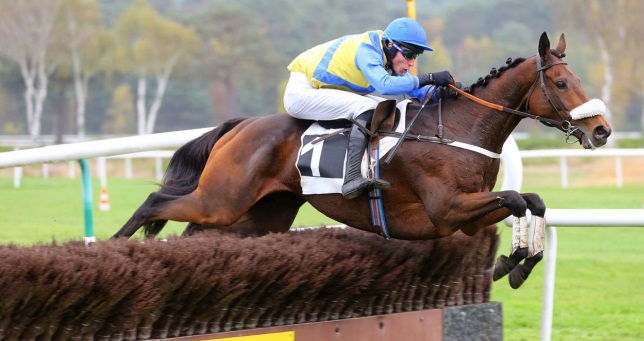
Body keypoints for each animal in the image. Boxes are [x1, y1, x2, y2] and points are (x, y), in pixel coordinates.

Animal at [113, 31, 612, 288]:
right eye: (562, 84)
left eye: (578, 79)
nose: (602, 130)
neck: (457, 130)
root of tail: (239, 125)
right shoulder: (446, 209)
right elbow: (517, 198)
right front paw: (516, 261)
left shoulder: (466, 217)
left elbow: (531, 201)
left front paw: (517, 262)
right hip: (222, 199)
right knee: (155, 204)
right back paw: (114, 247)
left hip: (257, 216)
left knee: (194, 235)